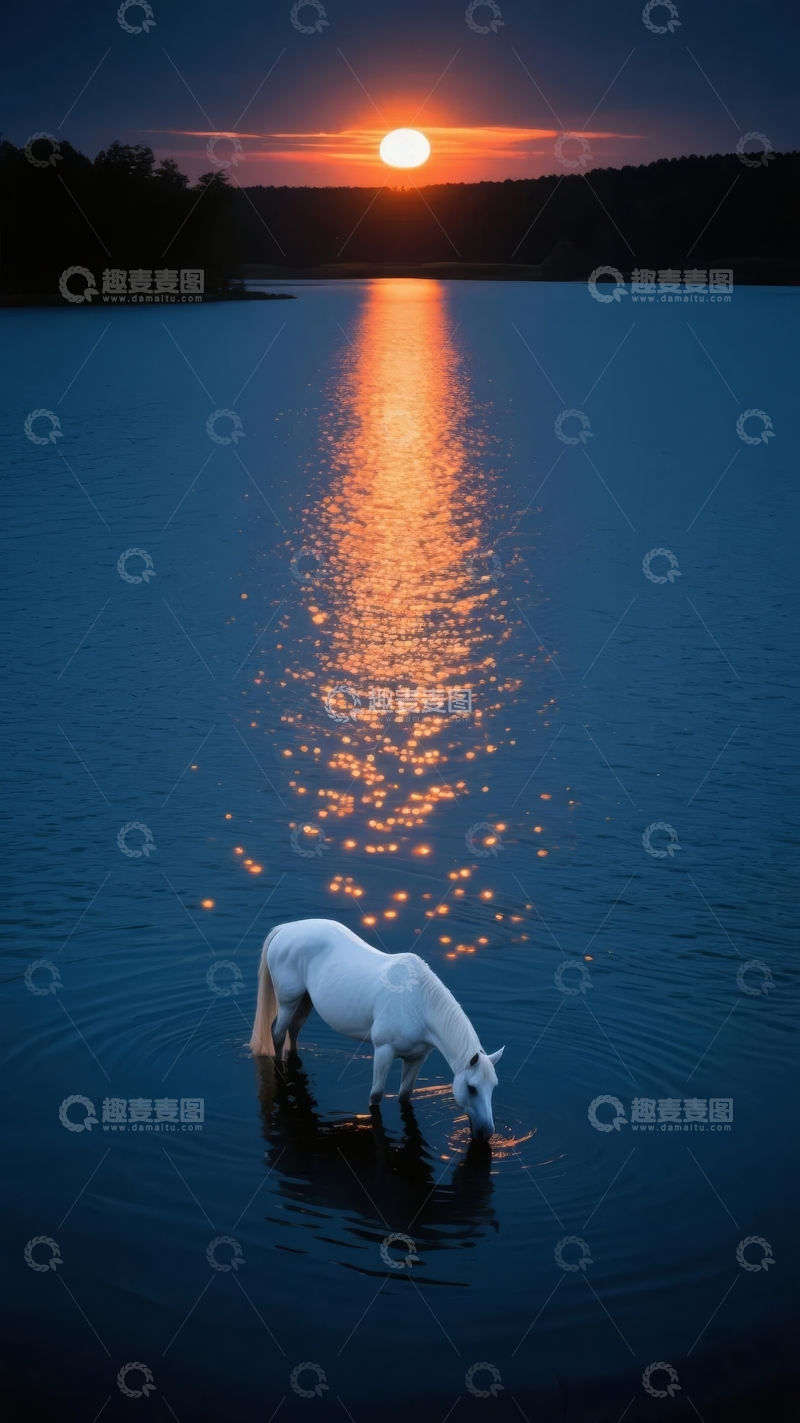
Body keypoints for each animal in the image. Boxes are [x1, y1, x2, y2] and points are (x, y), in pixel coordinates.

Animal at [250, 918, 504, 1142]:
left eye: (493, 1087)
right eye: (472, 1088)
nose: (486, 1133)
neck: (418, 1003)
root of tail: (285, 928)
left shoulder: (417, 1057)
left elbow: (405, 1095)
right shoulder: (383, 1050)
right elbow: (376, 1096)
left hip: (306, 1001)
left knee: (293, 1031)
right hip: (288, 1001)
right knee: (278, 1034)